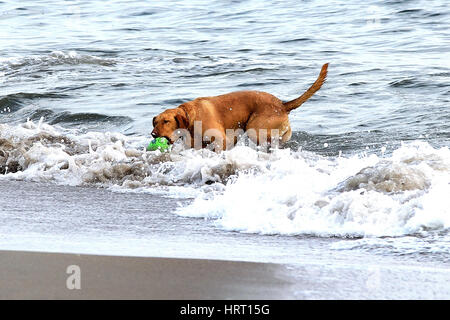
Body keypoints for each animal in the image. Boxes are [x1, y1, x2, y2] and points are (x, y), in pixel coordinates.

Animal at [151, 63, 326, 151]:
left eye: (166, 121)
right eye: (155, 122)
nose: (153, 134)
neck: (191, 117)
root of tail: (282, 104)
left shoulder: (221, 140)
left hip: (254, 128)